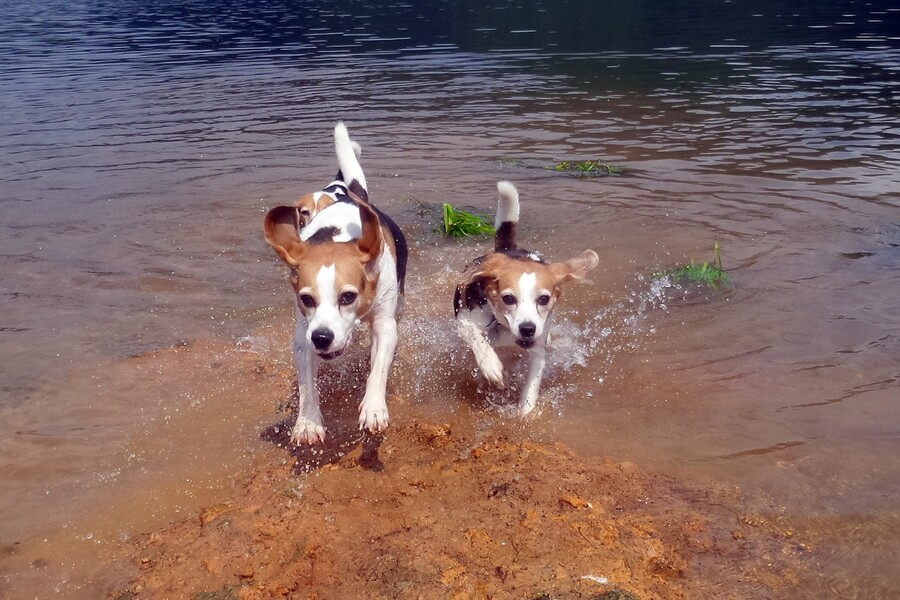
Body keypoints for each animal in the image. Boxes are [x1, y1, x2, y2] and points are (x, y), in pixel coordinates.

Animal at [262, 123, 406, 446]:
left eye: (348, 296)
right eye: (306, 299)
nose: (322, 338)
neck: (338, 234)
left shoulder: (384, 323)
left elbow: (378, 369)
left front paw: (374, 407)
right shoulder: (303, 332)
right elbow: (307, 384)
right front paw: (307, 421)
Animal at [458, 183, 596, 414]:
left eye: (543, 299)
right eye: (507, 298)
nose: (528, 329)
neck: (504, 328)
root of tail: (507, 249)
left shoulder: (538, 351)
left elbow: (531, 391)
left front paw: (525, 414)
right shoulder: (463, 321)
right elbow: (477, 338)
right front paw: (490, 365)